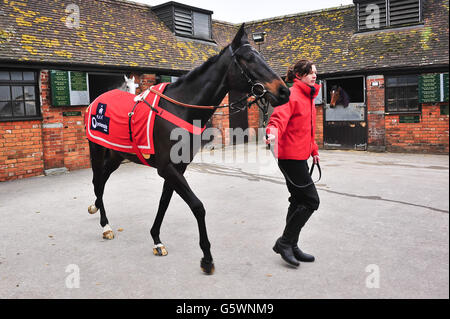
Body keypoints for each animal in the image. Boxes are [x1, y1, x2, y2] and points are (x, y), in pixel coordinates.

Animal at [85, 24, 288, 276]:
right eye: (249, 59)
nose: (284, 91)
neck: (180, 108)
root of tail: (96, 101)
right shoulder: (167, 168)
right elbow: (198, 206)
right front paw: (207, 258)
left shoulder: (176, 168)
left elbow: (164, 202)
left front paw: (156, 240)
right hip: (96, 150)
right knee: (98, 182)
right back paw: (105, 226)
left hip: (116, 155)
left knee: (102, 181)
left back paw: (98, 211)